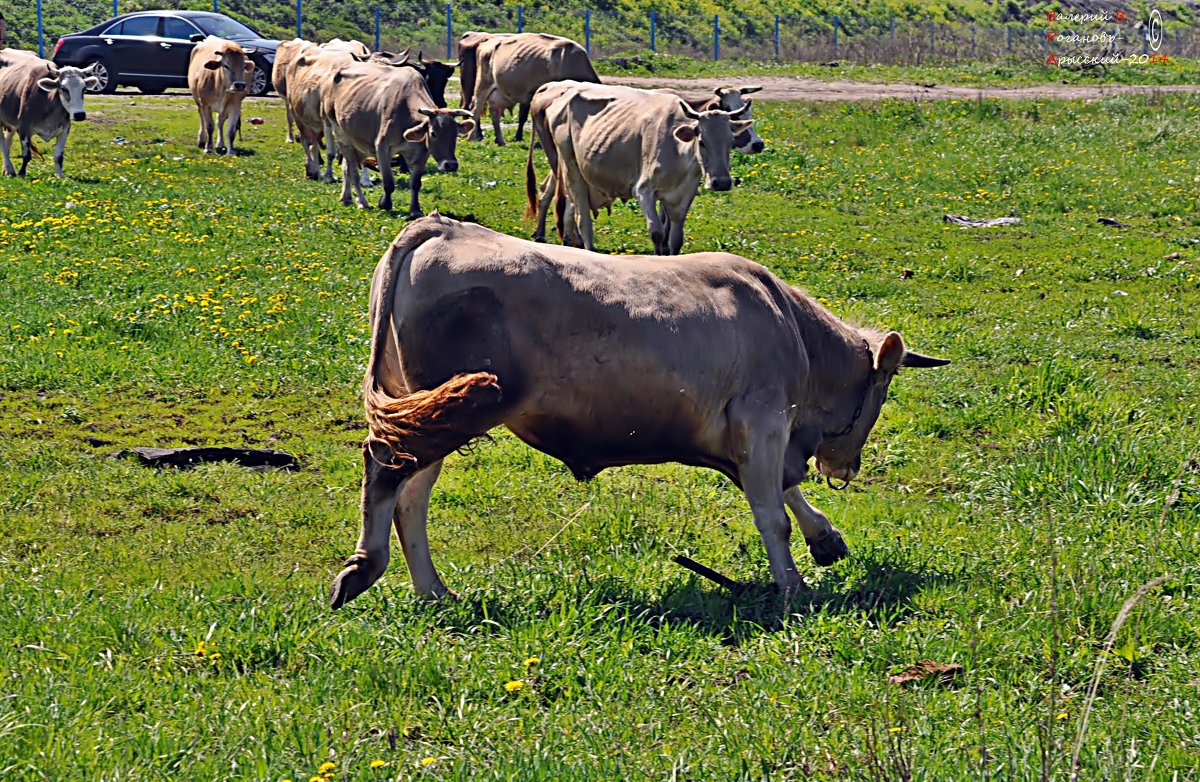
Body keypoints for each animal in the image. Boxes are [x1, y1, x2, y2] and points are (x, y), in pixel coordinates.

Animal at [0, 49, 97, 177]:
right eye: (64, 88)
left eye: (84, 89)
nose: (79, 114)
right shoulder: (24, 128)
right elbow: (26, 156)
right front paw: (21, 174)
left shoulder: (65, 129)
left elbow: (58, 156)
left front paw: (60, 176)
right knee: (3, 145)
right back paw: (10, 169)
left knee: (7, 141)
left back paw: (7, 170)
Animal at [328, 215, 945, 611]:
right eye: (884, 388)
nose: (846, 468)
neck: (789, 325)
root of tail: (439, 228)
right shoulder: (763, 420)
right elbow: (773, 514)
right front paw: (793, 589)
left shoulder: (744, 440)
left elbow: (781, 493)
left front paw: (826, 538)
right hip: (448, 408)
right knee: (387, 474)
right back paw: (366, 570)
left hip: (421, 405)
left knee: (410, 496)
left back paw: (433, 591)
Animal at [468, 31, 600, 145]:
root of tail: (486, 42)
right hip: (482, 85)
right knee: (475, 109)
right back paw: (472, 138)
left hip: (498, 92)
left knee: (494, 113)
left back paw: (500, 141)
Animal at [525, 81, 748, 255]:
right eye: (701, 141)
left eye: (730, 141)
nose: (721, 182)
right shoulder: (644, 190)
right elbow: (657, 232)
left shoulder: (683, 195)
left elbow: (675, 239)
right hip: (571, 171)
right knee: (582, 219)